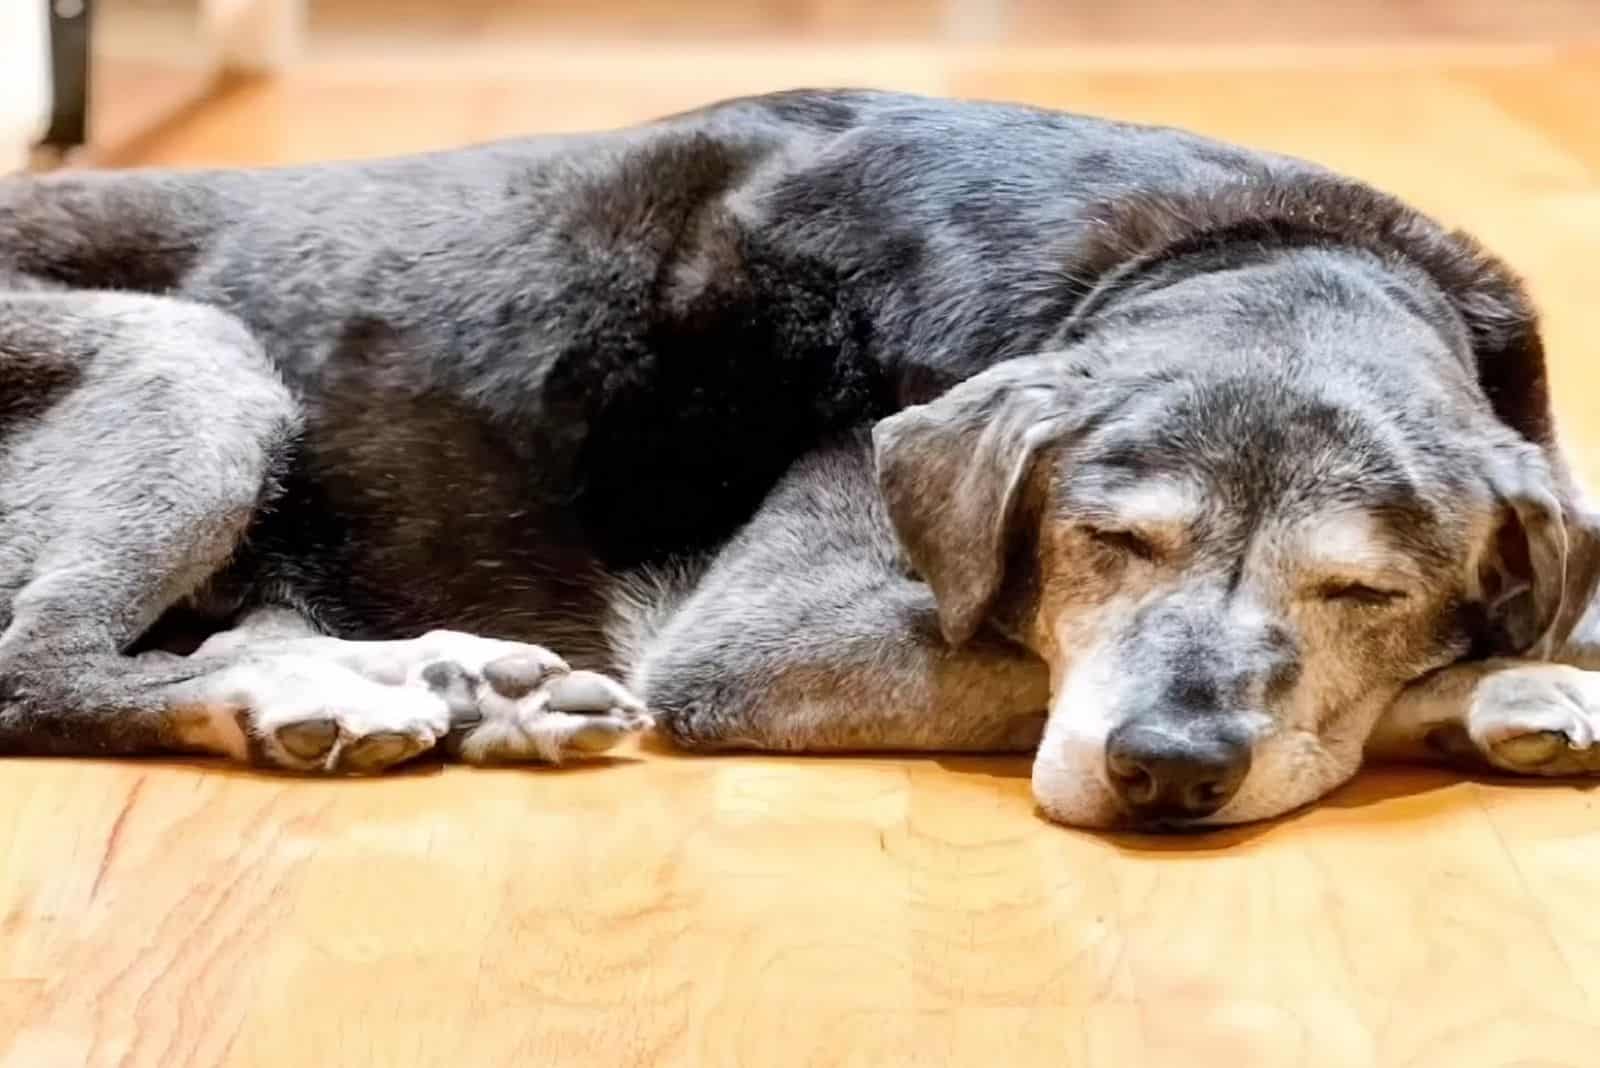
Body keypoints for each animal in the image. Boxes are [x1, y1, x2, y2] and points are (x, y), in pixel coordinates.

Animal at [3, 87, 1600, 831]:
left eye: (1365, 592)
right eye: (1108, 540)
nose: (1166, 771)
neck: (1239, 251)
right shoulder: (761, 643)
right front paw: (1502, 688)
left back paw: (453, 692)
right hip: (193, 358)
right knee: (38, 669)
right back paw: (316, 696)